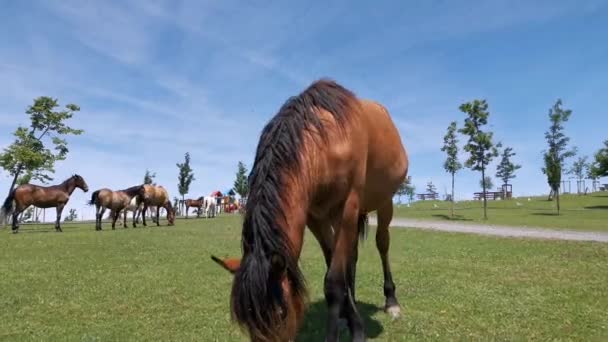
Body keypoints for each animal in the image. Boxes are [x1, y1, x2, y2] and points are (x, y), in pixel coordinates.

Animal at [211, 78, 410, 342]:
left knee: (382, 244)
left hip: (384, 201)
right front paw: (351, 319)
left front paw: (354, 329)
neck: (324, 143)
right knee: (351, 256)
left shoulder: (348, 207)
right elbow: (335, 267)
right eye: (247, 322)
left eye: (282, 313)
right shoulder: (315, 217)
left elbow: (334, 282)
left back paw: (391, 302)